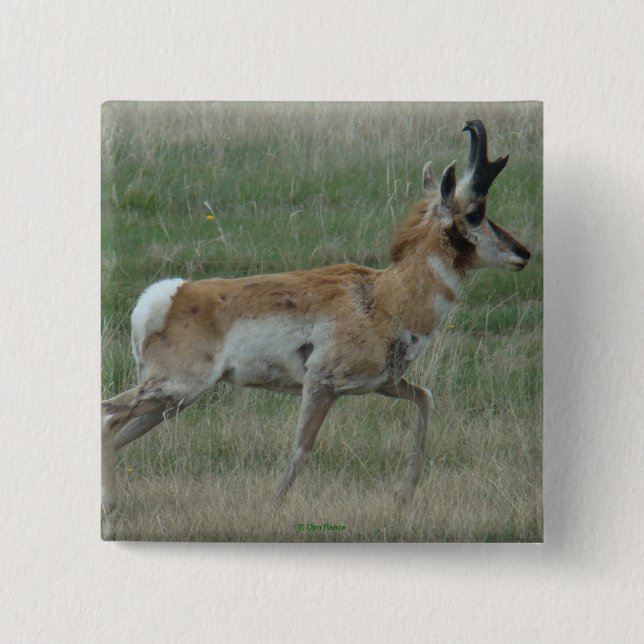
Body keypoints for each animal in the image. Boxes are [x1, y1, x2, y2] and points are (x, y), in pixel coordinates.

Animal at [101, 119, 531, 514]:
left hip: (173, 401)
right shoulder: (321, 384)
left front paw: (404, 495)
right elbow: (301, 449)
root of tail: (170, 296)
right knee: (108, 416)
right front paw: (271, 508)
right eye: (475, 213)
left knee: (118, 429)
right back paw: (109, 505)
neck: (385, 296)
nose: (524, 253)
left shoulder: (381, 384)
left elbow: (425, 399)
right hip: (177, 389)